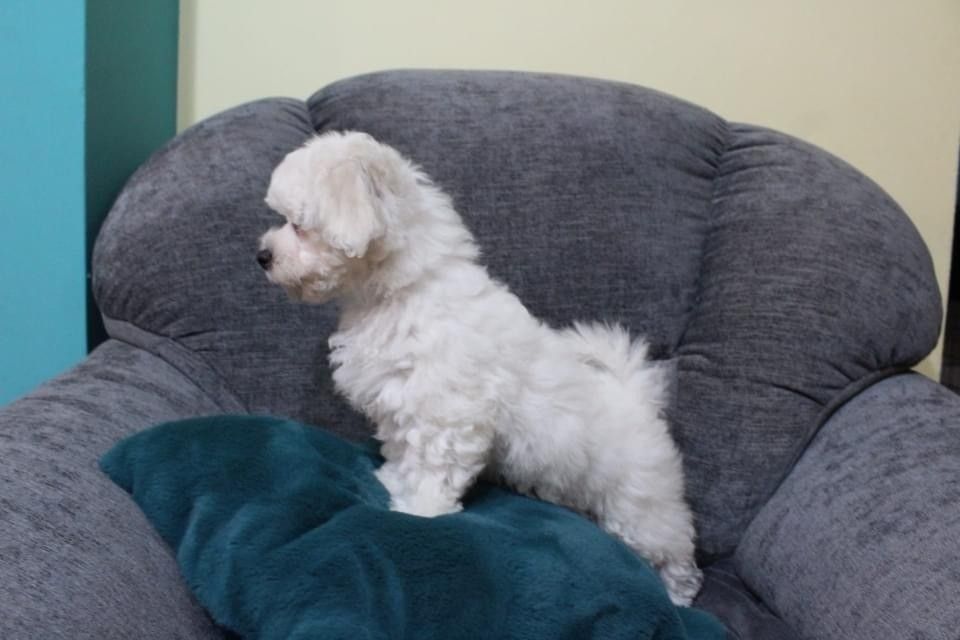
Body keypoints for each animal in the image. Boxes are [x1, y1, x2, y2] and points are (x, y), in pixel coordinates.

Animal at [257, 131, 702, 606]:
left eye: (298, 226)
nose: (261, 255)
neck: (403, 292)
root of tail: (634, 396)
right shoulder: (400, 399)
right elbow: (402, 447)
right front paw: (395, 480)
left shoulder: (447, 416)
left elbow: (434, 467)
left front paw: (419, 511)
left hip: (642, 506)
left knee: (673, 552)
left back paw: (678, 597)